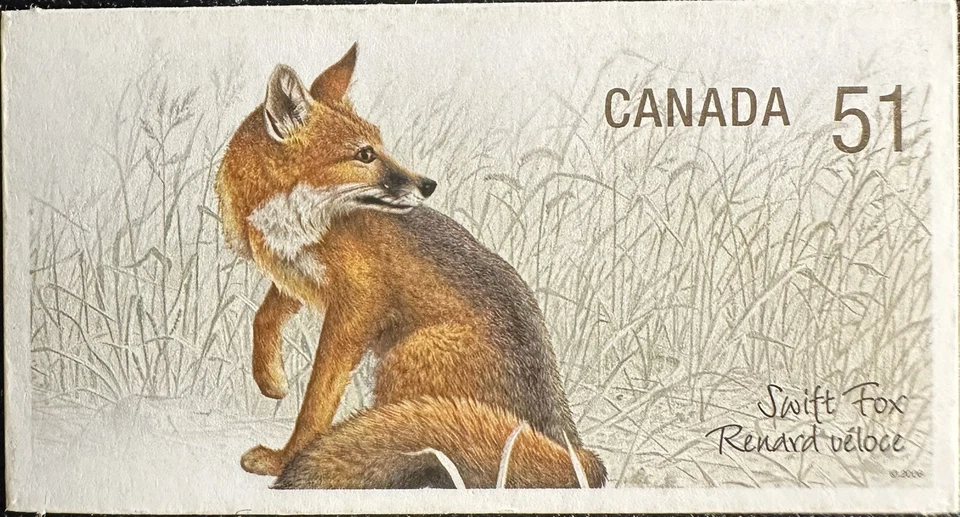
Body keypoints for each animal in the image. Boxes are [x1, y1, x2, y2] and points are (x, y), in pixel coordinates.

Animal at [214, 43, 606, 489]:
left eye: (380, 147)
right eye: (364, 155)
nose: (428, 185)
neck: (298, 223)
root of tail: (571, 446)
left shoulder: (356, 306)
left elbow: (317, 399)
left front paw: (285, 458)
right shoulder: (296, 278)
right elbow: (262, 317)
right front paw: (271, 380)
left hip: (400, 361)